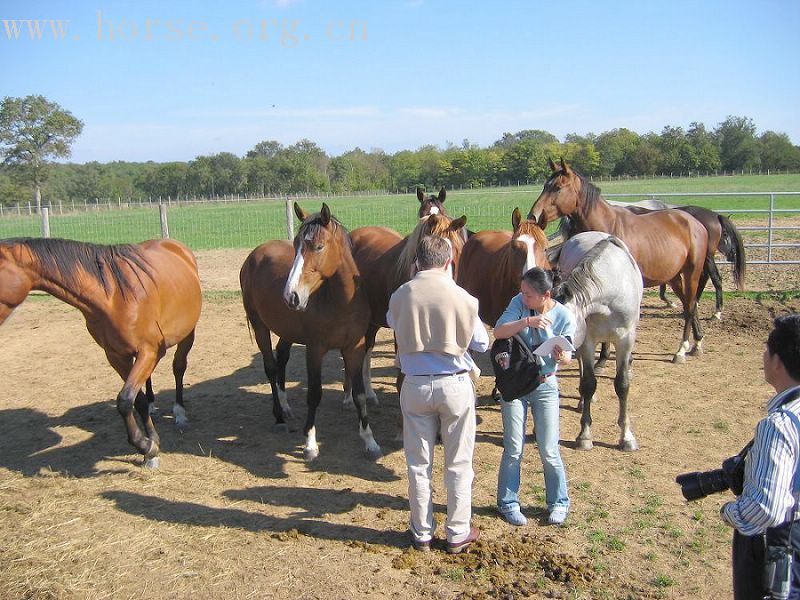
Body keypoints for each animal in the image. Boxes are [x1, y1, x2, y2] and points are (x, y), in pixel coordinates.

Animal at [0, 237, 202, 466]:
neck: (113, 296)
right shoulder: (117, 356)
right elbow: (136, 400)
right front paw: (151, 443)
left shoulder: (149, 351)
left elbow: (125, 400)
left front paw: (146, 446)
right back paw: (153, 405)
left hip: (186, 336)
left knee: (178, 368)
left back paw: (179, 411)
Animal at [238, 204, 382, 462]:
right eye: (296, 245)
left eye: (319, 246)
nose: (291, 296)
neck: (340, 301)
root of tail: (254, 255)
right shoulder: (315, 350)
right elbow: (314, 394)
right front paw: (310, 444)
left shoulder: (354, 348)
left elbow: (359, 394)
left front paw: (370, 441)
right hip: (259, 324)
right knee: (270, 366)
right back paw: (279, 417)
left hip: (286, 331)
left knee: (281, 358)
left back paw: (286, 407)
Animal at [532, 159, 708, 364]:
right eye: (545, 186)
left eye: (558, 187)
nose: (534, 215)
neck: (608, 225)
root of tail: (694, 222)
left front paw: (607, 356)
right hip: (674, 277)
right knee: (690, 304)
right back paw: (697, 343)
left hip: (691, 273)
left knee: (690, 307)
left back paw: (681, 350)